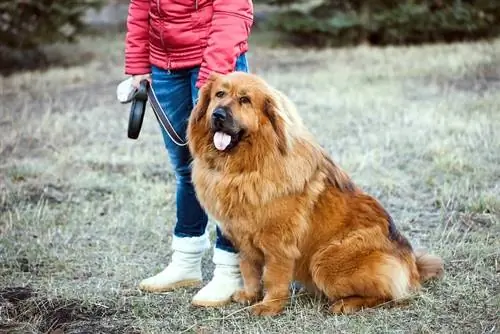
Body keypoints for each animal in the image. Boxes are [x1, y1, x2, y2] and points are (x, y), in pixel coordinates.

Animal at [186, 71, 444, 316]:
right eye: (219, 94)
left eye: (245, 100)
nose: (218, 115)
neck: (245, 168)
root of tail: (411, 265)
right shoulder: (243, 239)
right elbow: (249, 270)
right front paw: (250, 295)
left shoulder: (278, 244)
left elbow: (273, 277)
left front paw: (269, 306)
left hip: (324, 260)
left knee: (390, 295)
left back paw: (346, 304)